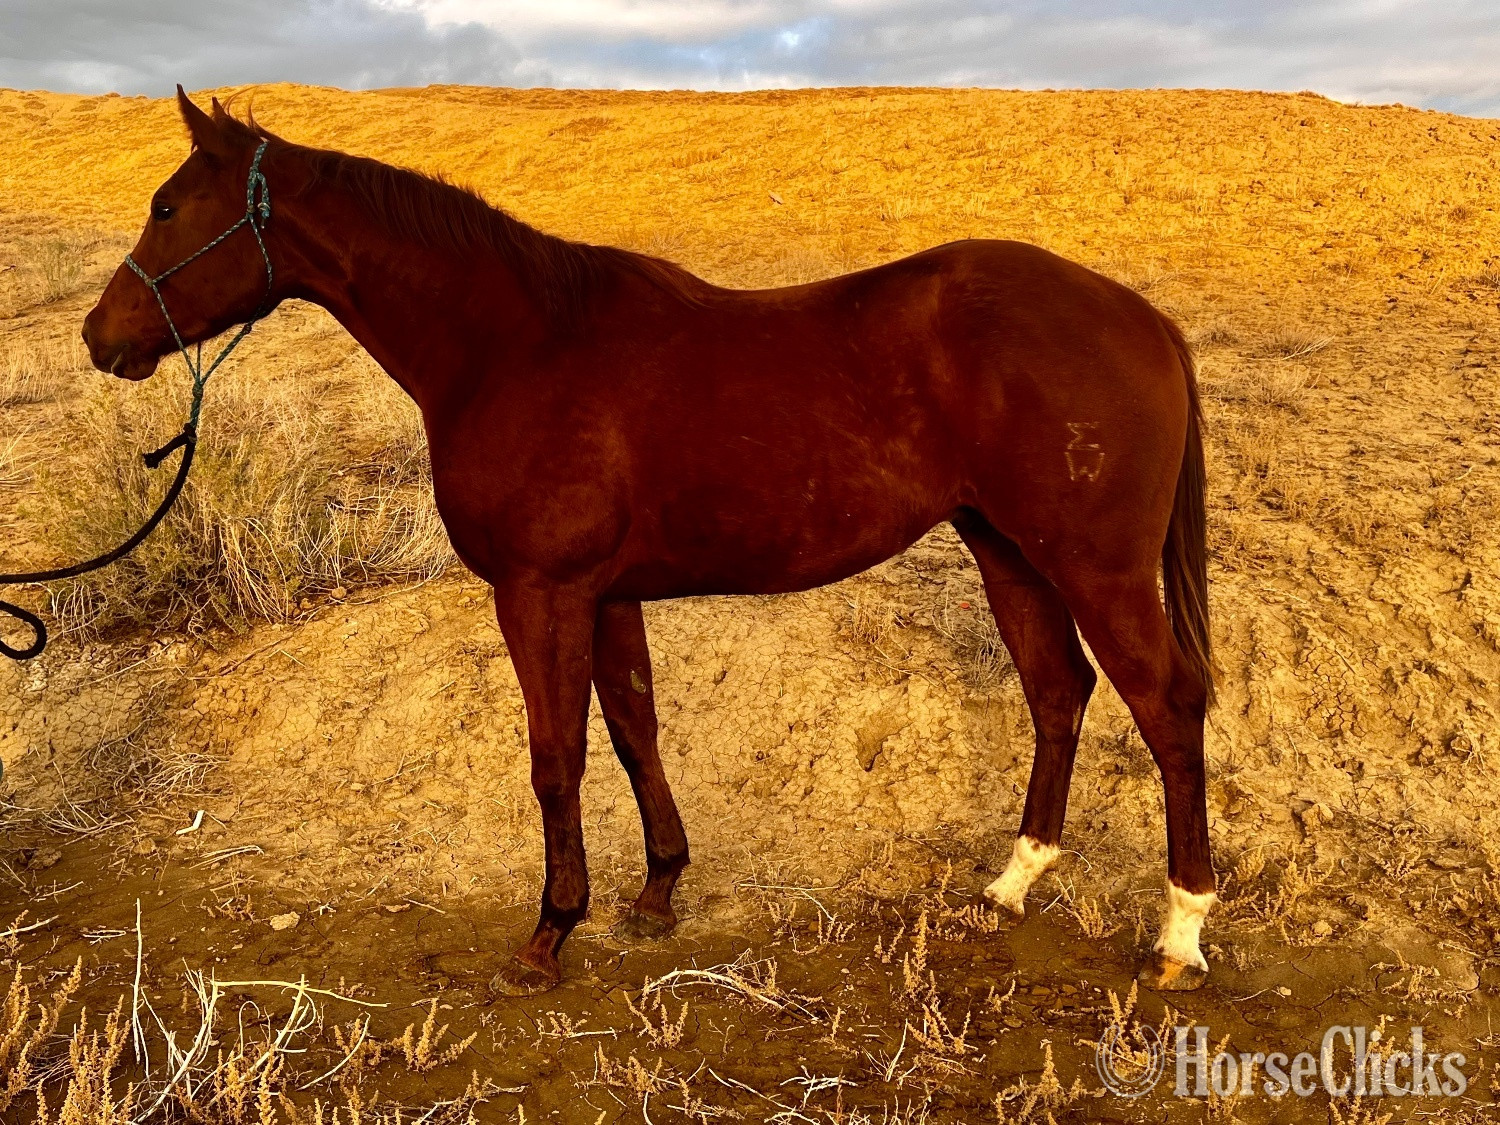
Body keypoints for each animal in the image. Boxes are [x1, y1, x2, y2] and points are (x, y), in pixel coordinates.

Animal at [82, 89, 1218, 995]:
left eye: (169, 206)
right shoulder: (607, 593)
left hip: (1095, 566)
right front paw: (657, 891)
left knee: (1165, 706)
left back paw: (1180, 931)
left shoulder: (540, 591)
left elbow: (557, 758)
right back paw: (1012, 882)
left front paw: (550, 933)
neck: (514, 346)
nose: (102, 337)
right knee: (1058, 692)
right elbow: (635, 732)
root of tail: (1141, 317)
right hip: (1006, 550)